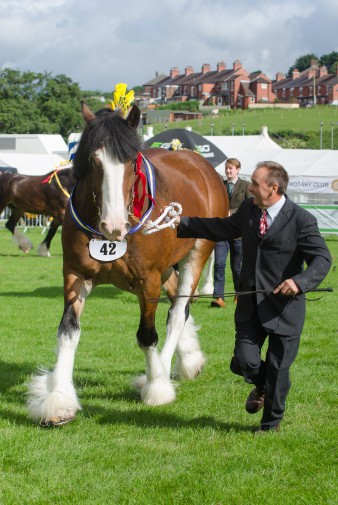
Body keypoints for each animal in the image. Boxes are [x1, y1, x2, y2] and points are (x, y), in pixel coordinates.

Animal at [25, 102, 227, 426]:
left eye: (132, 162)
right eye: (93, 160)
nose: (114, 226)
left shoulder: (148, 282)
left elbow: (147, 336)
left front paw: (157, 387)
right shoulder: (75, 276)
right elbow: (68, 332)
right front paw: (59, 399)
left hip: (197, 253)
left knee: (177, 313)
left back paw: (161, 372)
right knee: (176, 302)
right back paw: (189, 358)